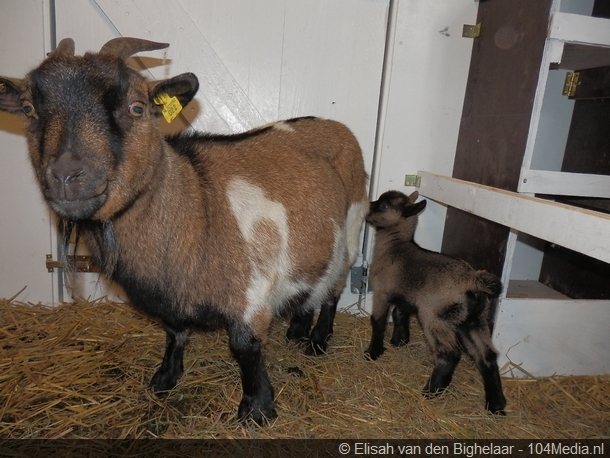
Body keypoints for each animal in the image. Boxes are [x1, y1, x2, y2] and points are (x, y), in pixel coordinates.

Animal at [0, 37, 366, 424]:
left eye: (137, 107)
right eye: (28, 108)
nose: (66, 176)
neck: (196, 208)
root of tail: (334, 125)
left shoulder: (251, 293)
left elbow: (245, 347)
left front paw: (257, 409)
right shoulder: (173, 293)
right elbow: (174, 333)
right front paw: (165, 378)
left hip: (352, 229)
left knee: (334, 287)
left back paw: (317, 340)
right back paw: (297, 330)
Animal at [360, 190, 504, 416]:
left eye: (383, 206)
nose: (366, 206)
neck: (395, 246)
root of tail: (472, 280)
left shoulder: (382, 293)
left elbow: (378, 322)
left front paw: (373, 352)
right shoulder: (407, 296)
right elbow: (400, 314)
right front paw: (399, 340)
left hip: (435, 317)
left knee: (449, 354)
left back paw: (432, 390)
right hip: (474, 321)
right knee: (487, 357)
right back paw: (496, 404)